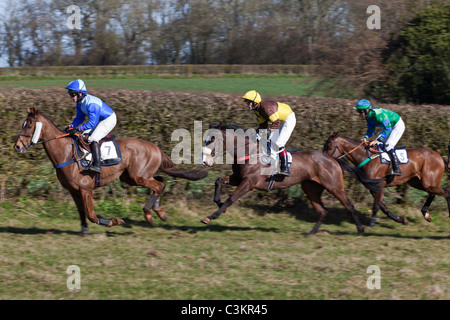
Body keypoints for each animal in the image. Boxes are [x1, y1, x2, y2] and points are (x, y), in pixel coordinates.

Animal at [14, 107, 208, 235]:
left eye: (29, 125)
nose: (17, 147)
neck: (66, 153)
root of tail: (156, 148)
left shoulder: (86, 189)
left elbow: (92, 215)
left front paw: (113, 221)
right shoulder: (74, 191)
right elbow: (82, 213)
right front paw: (84, 231)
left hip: (138, 177)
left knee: (158, 186)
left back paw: (149, 214)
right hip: (131, 177)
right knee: (159, 181)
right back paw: (160, 212)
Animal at [202, 122, 382, 235]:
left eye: (212, 140)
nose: (205, 161)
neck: (249, 152)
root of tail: (332, 159)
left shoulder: (248, 183)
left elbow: (231, 198)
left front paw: (211, 216)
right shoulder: (238, 178)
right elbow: (218, 180)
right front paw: (218, 203)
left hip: (334, 187)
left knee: (349, 205)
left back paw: (360, 230)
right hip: (310, 188)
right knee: (322, 211)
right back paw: (311, 232)